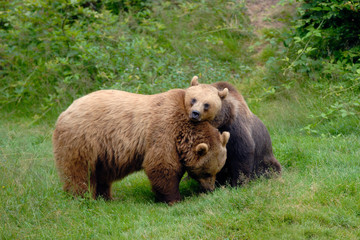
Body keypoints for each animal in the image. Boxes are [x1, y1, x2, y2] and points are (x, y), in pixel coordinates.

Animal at [52, 86, 229, 204]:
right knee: (78, 171)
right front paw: (174, 199)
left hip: (104, 152)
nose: (210, 189)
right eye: (207, 172)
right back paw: (82, 198)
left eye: (218, 170)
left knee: (101, 174)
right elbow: (162, 165)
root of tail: (64, 112)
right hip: (82, 139)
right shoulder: (163, 130)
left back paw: (107, 197)